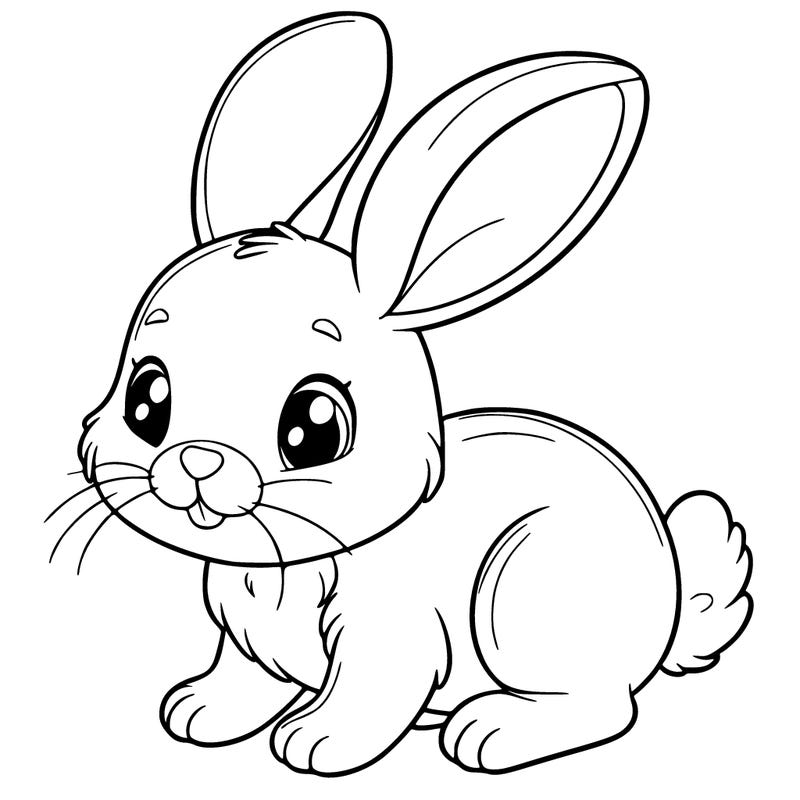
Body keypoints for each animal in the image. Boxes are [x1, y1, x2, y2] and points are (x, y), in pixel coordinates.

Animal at [64, 12, 752, 775]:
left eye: (314, 428)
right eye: (147, 398)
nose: (195, 461)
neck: (285, 565)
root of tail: (667, 605)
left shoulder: (393, 634)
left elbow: (368, 693)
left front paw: (313, 744)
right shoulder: (243, 636)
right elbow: (244, 677)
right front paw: (196, 713)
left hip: (525, 601)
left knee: (603, 706)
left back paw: (489, 731)